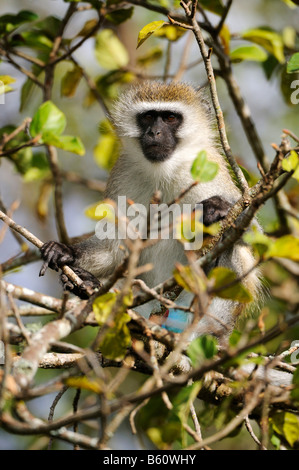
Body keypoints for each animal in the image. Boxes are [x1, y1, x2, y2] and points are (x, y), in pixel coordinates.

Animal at [39, 81, 260, 342]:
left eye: (170, 117)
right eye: (147, 117)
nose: (154, 133)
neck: (163, 170)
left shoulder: (210, 170)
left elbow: (255, 234)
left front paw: (217, 210)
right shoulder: (123, 175)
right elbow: (115, 246)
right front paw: (65, 252)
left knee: (232, 248)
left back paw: (209, 329)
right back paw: (93, 290)